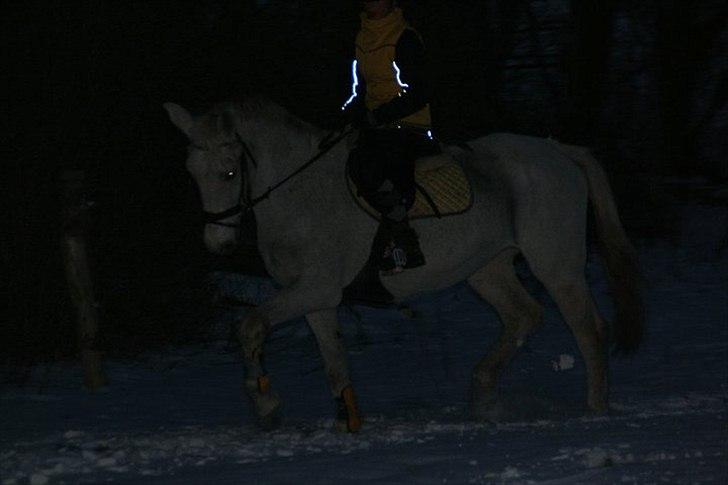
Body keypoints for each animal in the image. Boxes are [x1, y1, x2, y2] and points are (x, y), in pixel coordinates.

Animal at [165, 97, 644, 432]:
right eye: (190, 170)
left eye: (229, 171)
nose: (218, 243)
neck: (299, 193)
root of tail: (555, 151)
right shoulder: (316, 300)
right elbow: (335, 365)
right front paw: (347, 424)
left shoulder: (315, 289)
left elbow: (248, 327)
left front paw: (266, 406)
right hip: (486, 269)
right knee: (524, 316)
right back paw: (483, 394)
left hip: (557, 265)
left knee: (589, 329)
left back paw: (594, 410)